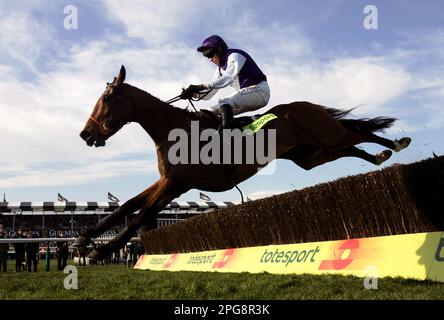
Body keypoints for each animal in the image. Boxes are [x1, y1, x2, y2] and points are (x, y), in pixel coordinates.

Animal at [73, 65, 410, 260]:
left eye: (106, 97)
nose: (85, 133)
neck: (174, 129)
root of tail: (305, 106)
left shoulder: (176, 184)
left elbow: (141, 216)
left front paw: (101, 250)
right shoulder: (166, 181)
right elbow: (127, 205)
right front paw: (84, 238)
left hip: (326, 136)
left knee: (357, 132)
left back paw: (395, 144)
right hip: (311, 155)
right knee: (352, 147)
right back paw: (380, 156)